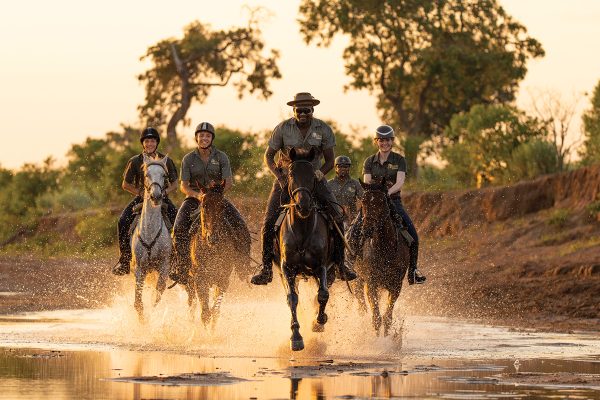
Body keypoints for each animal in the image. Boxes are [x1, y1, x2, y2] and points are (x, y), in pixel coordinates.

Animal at [189, 180, 252, 326]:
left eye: (222, 206)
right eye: (204, 206)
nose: (213, 238)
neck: (211, 249)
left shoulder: (222, 279)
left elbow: (215, 312)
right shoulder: (199, 279)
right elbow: (205, 314)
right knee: (192, 304)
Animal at [274, 148, 336, 352]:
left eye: (312, 176)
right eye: (291, 174)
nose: (304, 205)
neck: (302, 228)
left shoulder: (321, 266)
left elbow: (323, 294)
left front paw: (319, 321)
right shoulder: (287, 268)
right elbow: (292, 298)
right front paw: (296, 337)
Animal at [354, 180, 410, 336]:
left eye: (382, 201)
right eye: (363, 201)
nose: (367, 230)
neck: (384, 249)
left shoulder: (396, 285)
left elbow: (387, 318)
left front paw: (385, 338)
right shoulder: (371, 283)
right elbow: (376, 318)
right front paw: (377, 339)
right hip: (359, 279)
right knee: (360, 301)